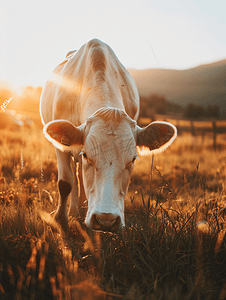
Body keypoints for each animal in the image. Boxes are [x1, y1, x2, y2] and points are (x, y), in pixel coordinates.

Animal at [39, 38, 177, 232]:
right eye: (87, 155)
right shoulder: (63, 148)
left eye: (133, 159)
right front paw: (60, 219)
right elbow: (65, 183)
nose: (106, 219)